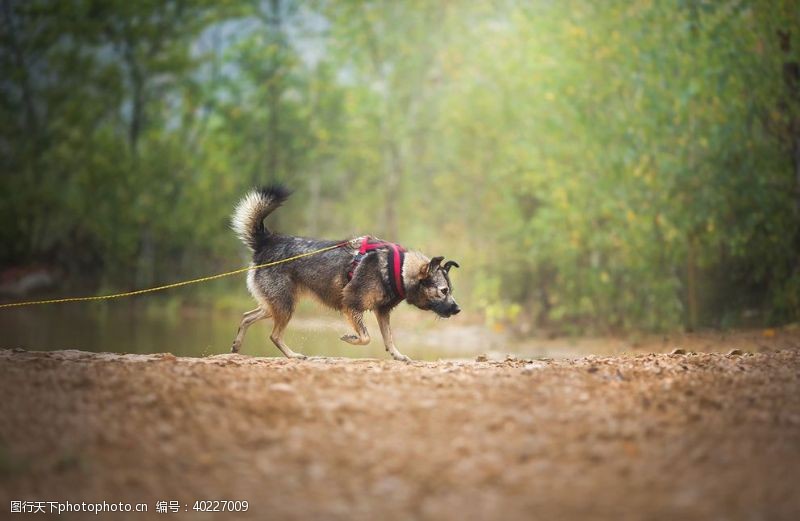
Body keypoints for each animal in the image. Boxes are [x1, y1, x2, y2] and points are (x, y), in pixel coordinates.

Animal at [228, 185, 460, 360]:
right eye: (443, 290)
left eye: (450, 290)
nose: (458, 309)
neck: (398, 268)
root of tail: (267, 240)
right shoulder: (351, 305)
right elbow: (366, 337)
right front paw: (352, 338)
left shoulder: (382, 312)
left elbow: (389, 338)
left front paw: (397, 355)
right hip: (284, 305)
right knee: (274, 335)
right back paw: (293, 355)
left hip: (275, 305)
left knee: (247, 317)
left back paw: (237, 346)